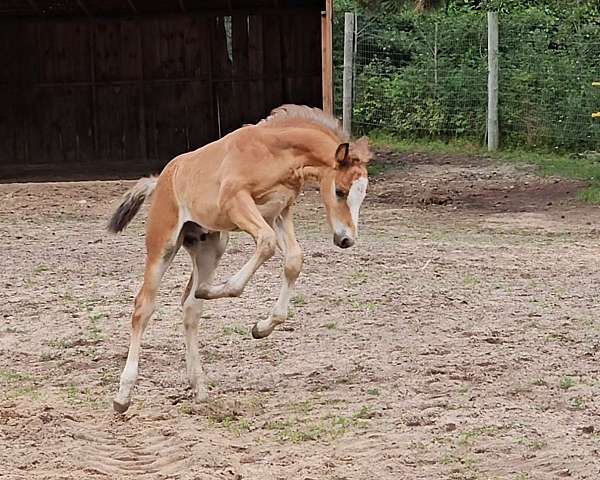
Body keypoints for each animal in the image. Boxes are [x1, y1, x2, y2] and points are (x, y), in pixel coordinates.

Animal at [107, 105, 370, 412]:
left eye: (362, 195)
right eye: (340, 191)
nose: (346, 240)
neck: (273, 151)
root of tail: (161, 179)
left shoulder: (279, 211)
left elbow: (294, 259)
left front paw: (261, 328)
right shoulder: (237, 201)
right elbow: (266, 244)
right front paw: (223, 290)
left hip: (210, 246)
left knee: (190, 309)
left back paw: (199, 387)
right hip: (163, 243)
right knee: (143, 307)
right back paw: (123, 395)